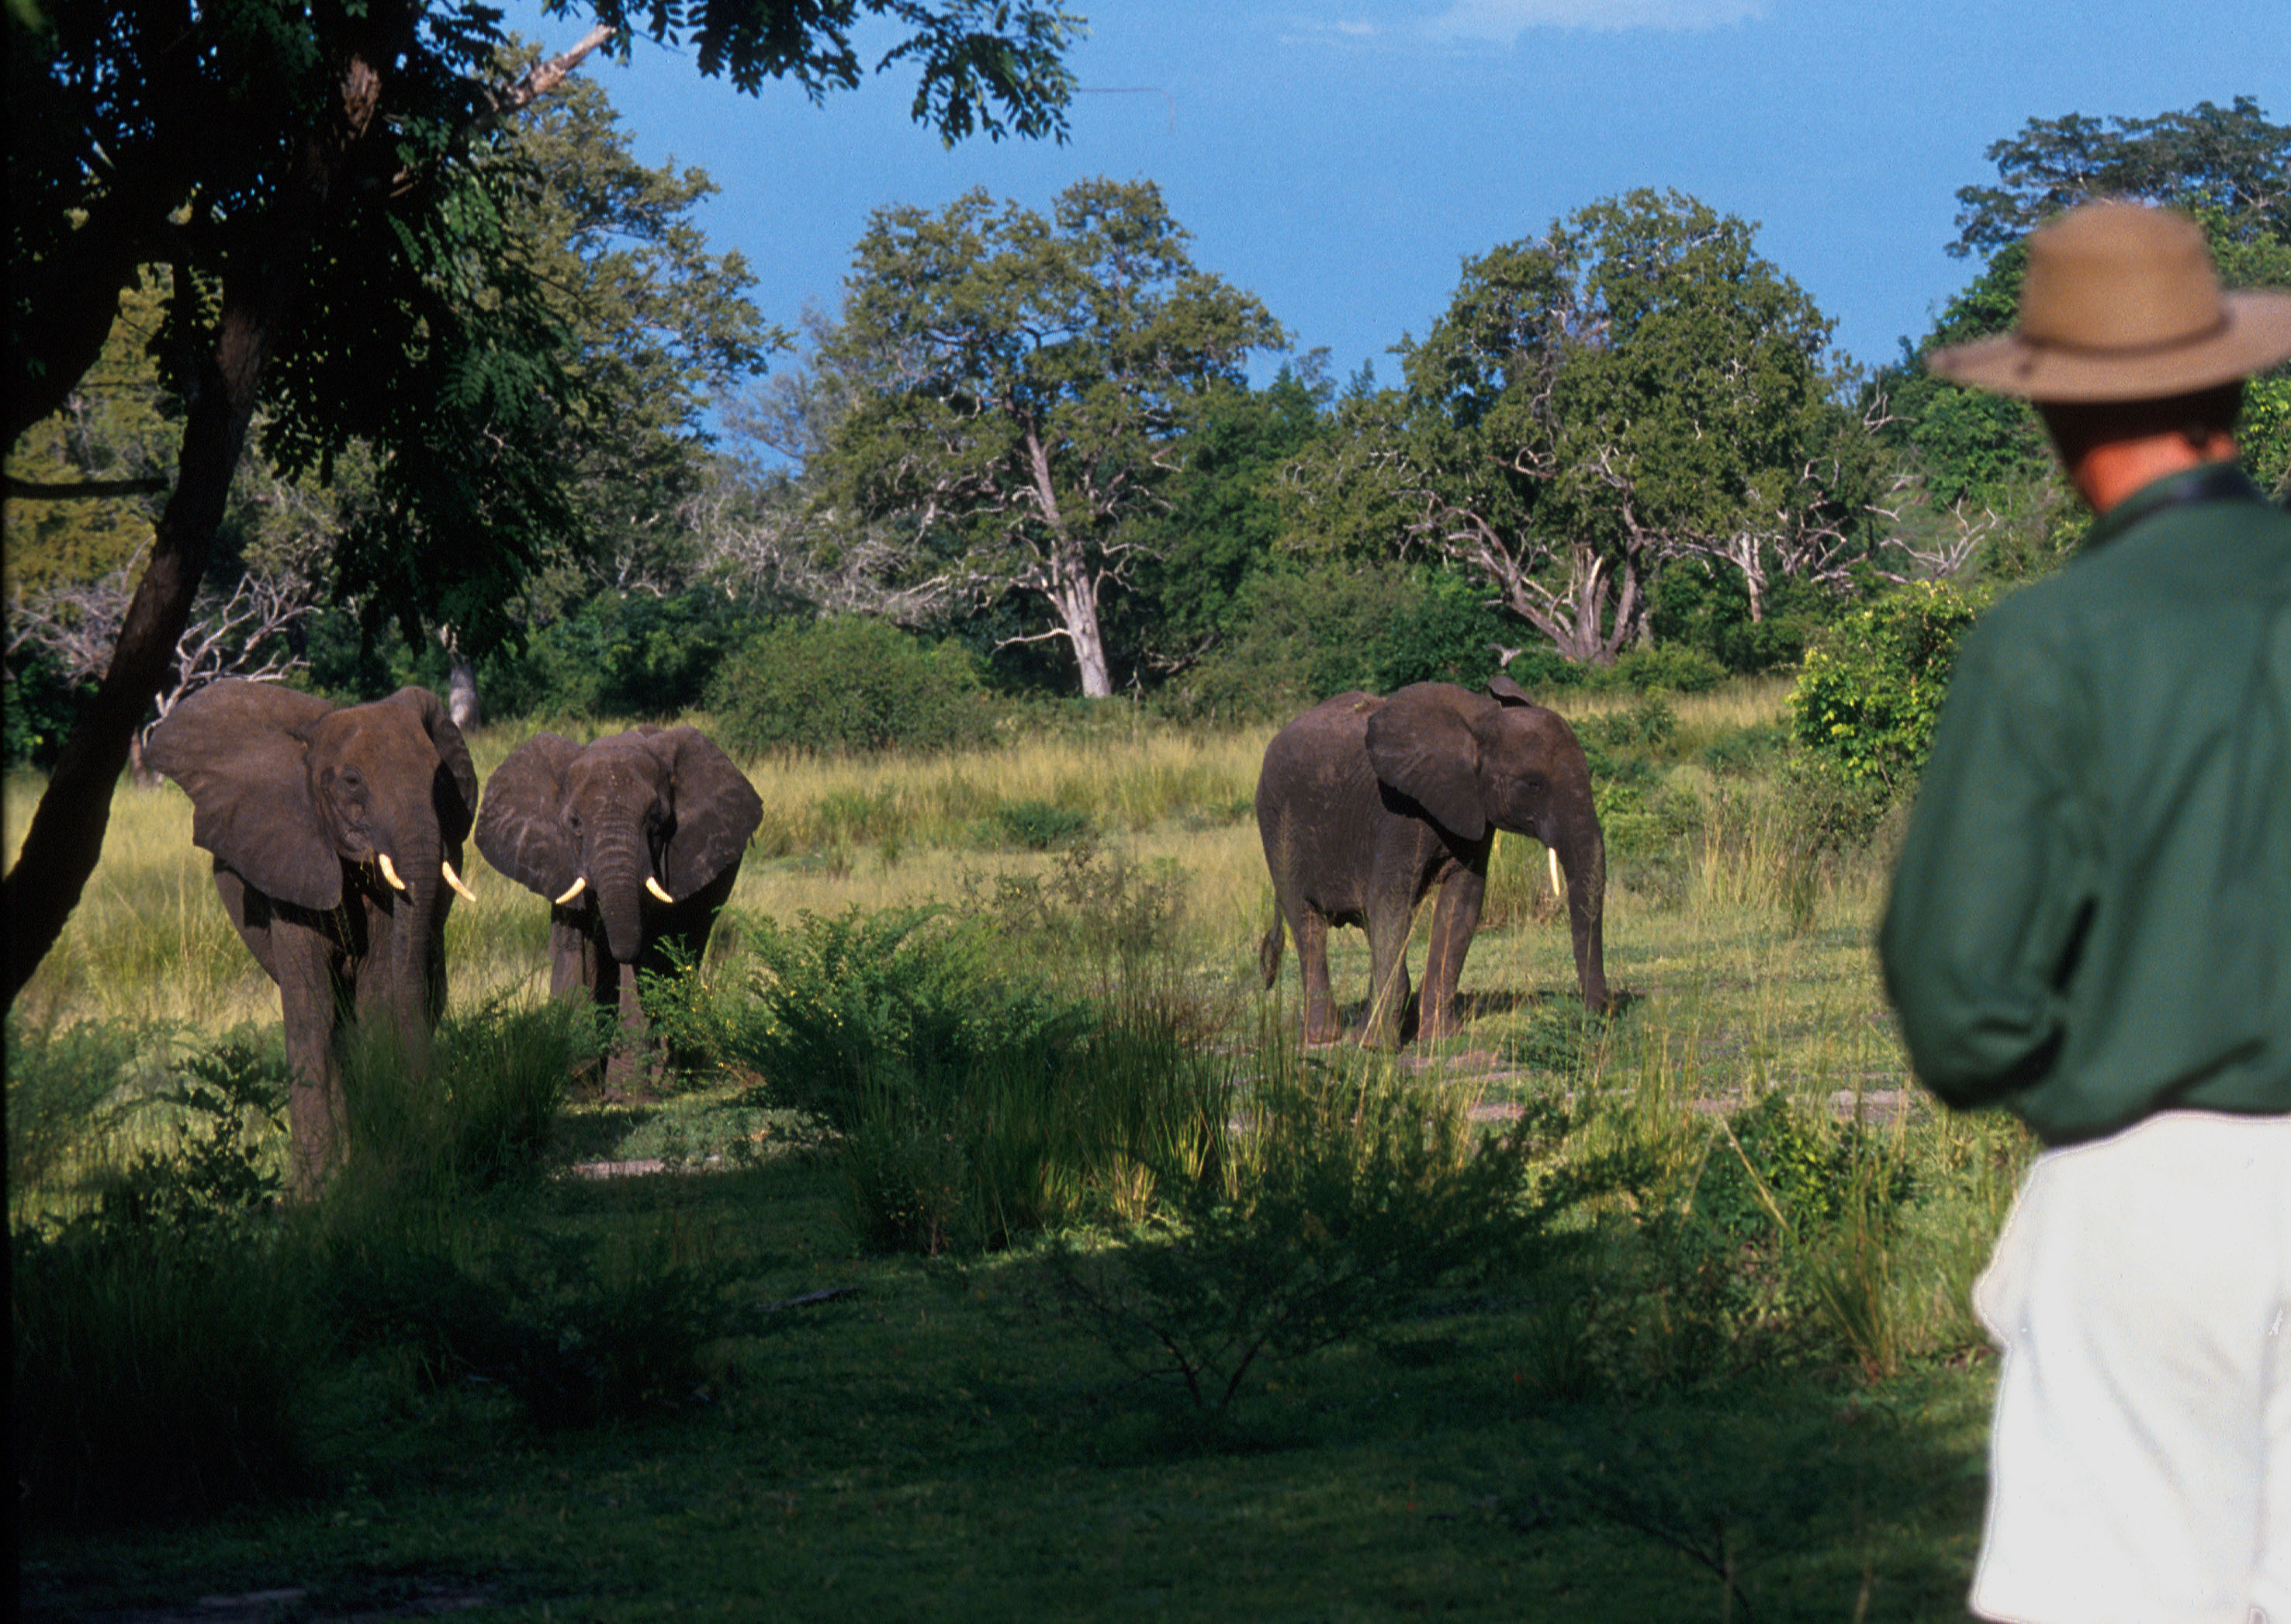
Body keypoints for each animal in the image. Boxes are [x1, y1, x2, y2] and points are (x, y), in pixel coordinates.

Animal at [144, 673, 483, 1191]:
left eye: (437, 779)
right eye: (351, 781)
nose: (439, 1135)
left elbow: (379, 996)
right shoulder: (290, 861)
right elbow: (312, 1011)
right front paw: (318, 1192)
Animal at [1255, 673, 1612, 1044]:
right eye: (1533, 785)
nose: (1590, 1017)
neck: (1481, 721)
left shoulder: (1473, 812)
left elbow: (1462, 903)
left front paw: (1440, 1038)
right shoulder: (1397, 811)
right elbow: (1391, 901)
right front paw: (1375, 1046)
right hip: (1275, 826)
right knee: (1307, 923)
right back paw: (1324, 1038)